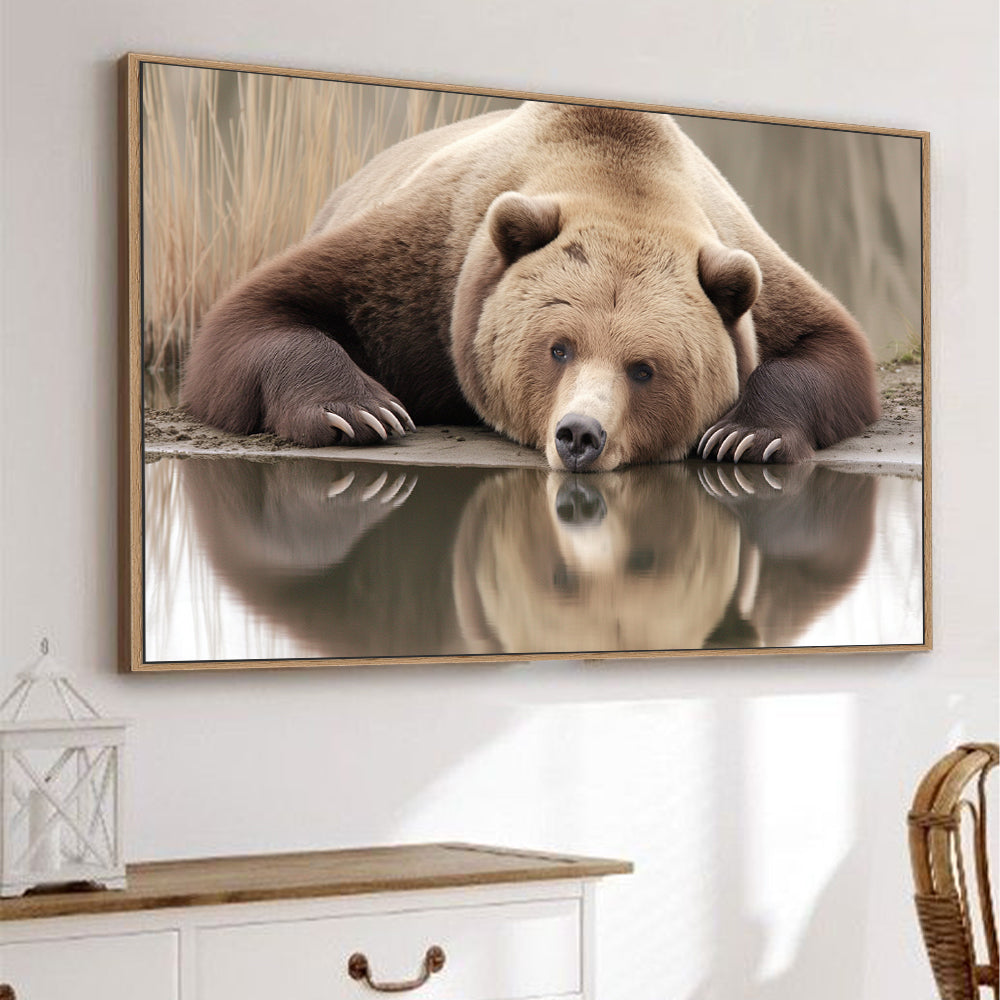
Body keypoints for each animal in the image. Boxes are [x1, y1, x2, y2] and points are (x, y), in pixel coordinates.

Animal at [181, 101, 880, 471]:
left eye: (645, 367)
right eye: (558, 347)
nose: (580, 435)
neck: (616, 176)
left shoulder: (748, 268)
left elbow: (828, 344)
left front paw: (744, 434)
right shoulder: (425, 263)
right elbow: (260, 310)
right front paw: (361, 410)